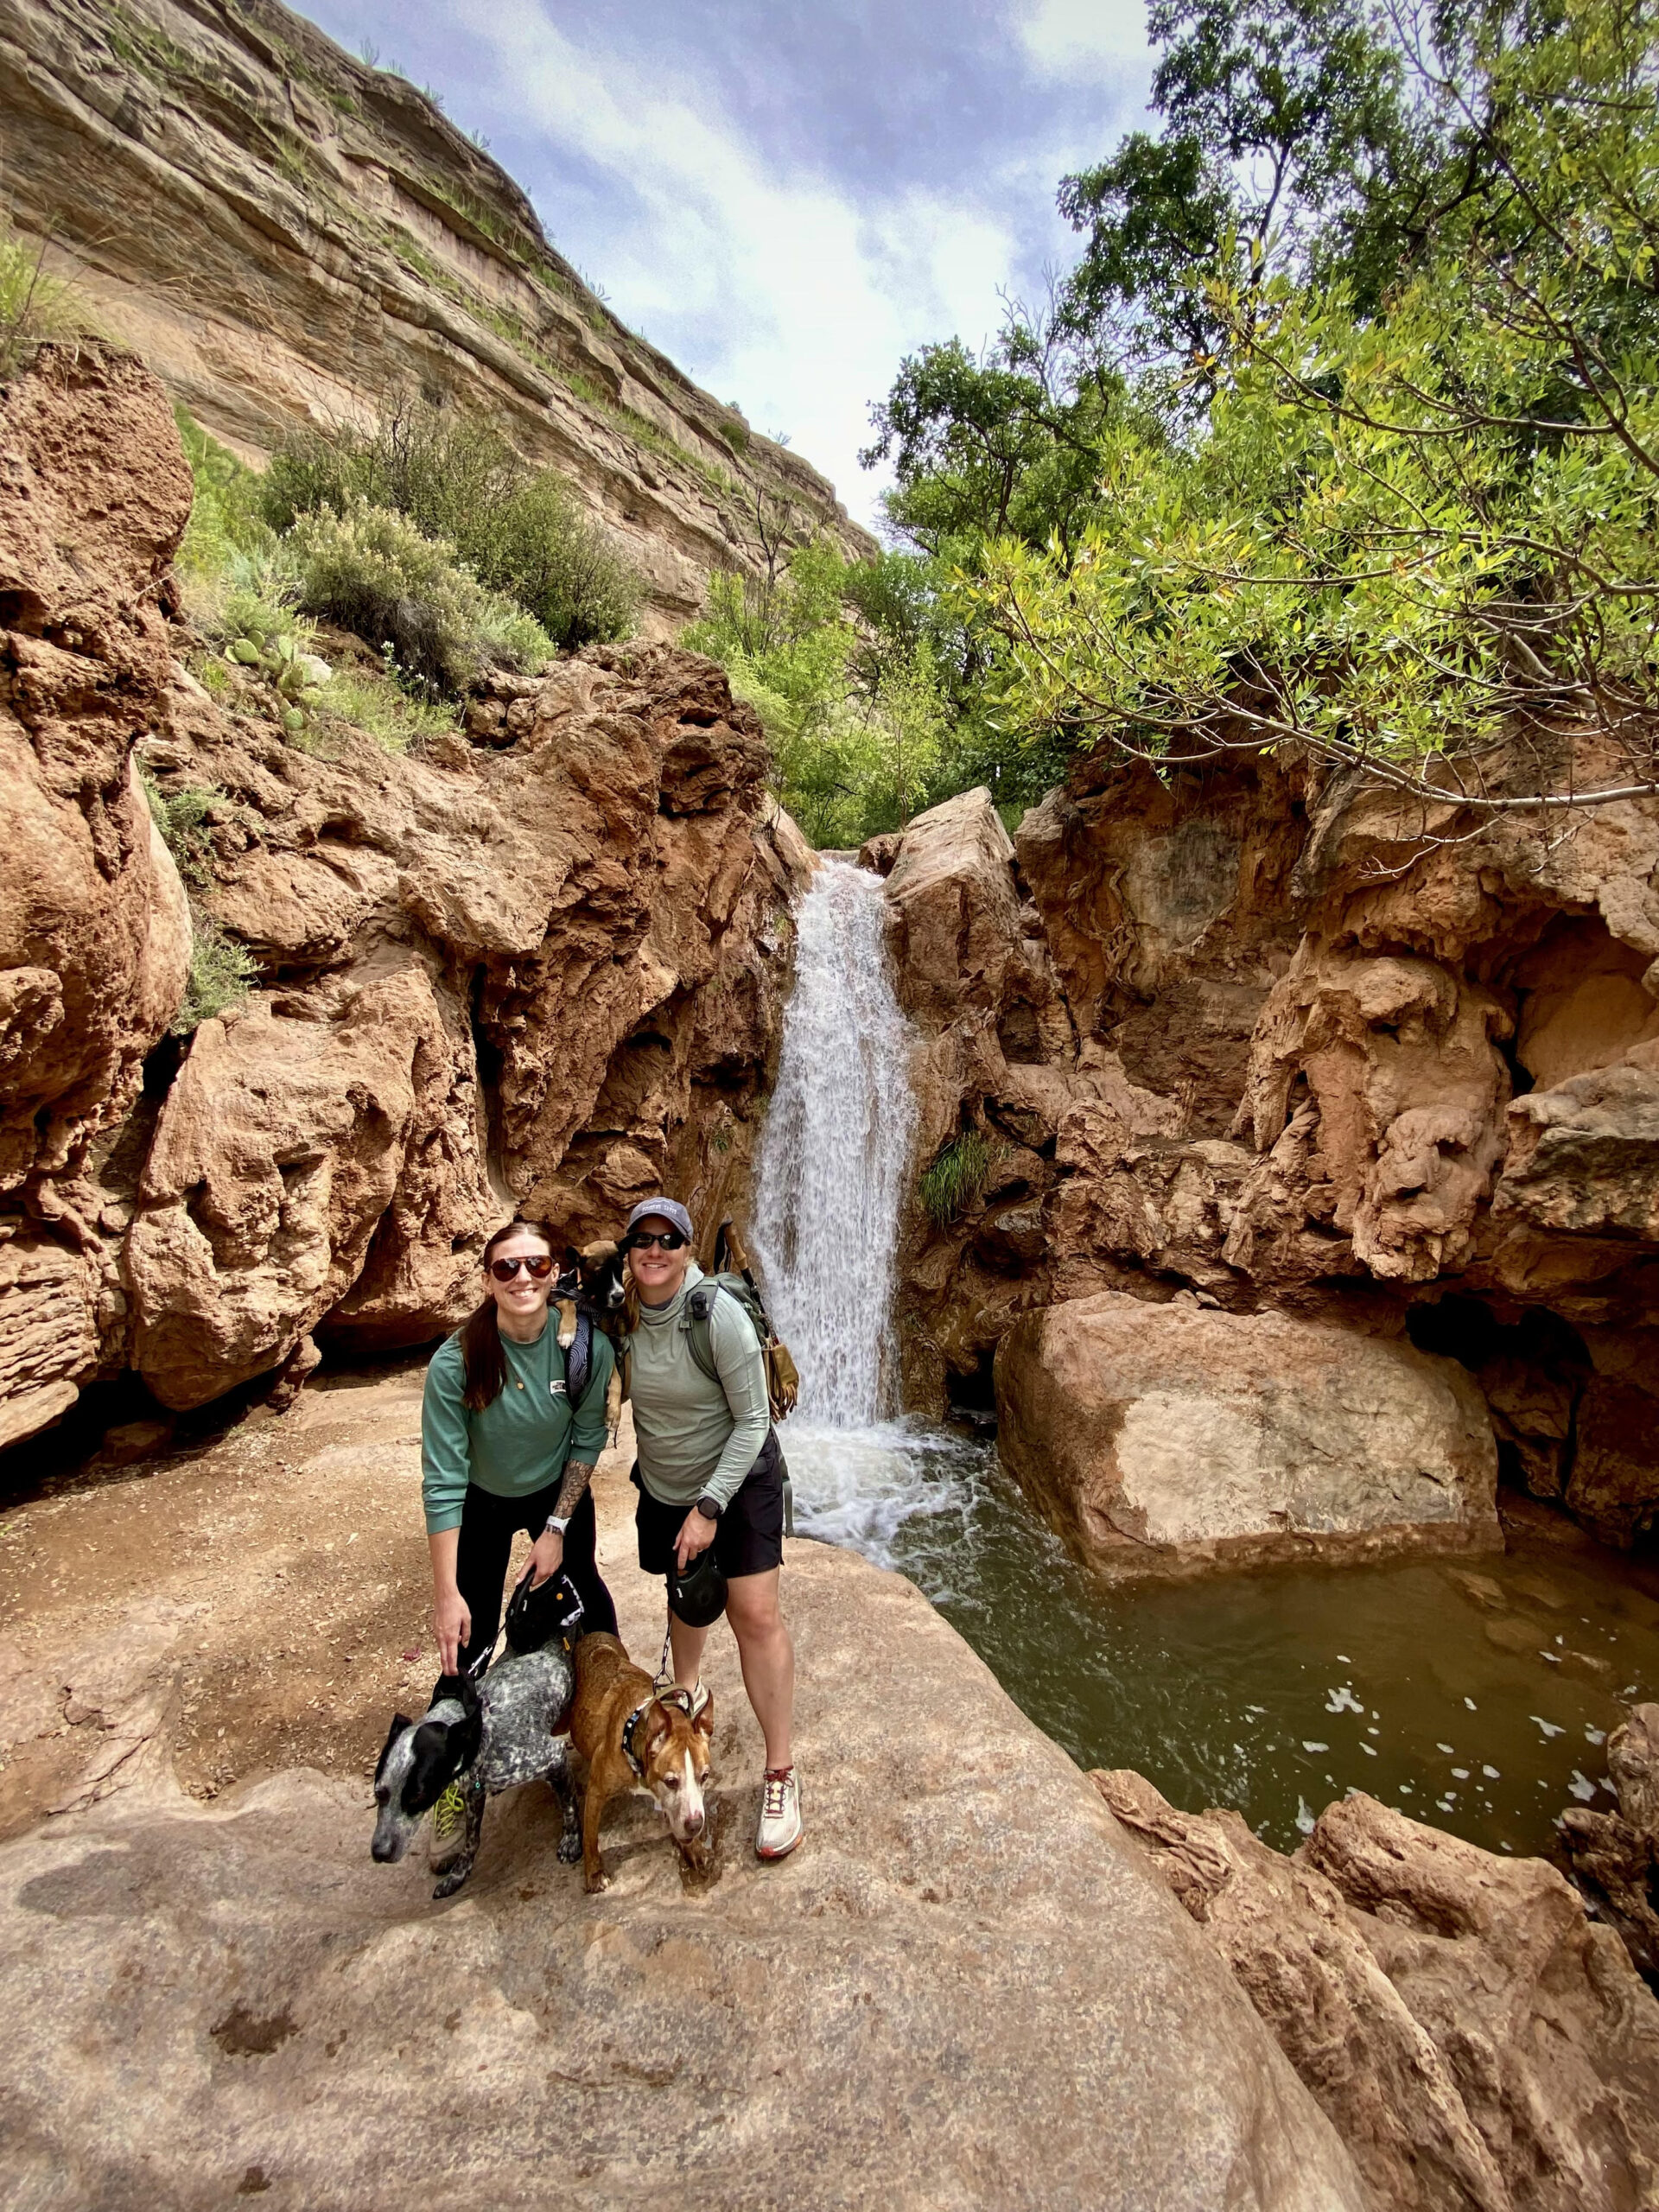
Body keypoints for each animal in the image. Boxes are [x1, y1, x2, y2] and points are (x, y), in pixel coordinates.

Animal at [369, 1574, 583, 1902]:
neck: (481, 1726)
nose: (379, 1853)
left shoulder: (552, 1756)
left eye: (418, 1797)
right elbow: (471, 1840)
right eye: (379, 1793)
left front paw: (572, 1840)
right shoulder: (473, 1792)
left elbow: (569, 1805)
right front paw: (459, 1874)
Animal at [570, 1637, 716, 1893]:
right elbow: (590, 1836)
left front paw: (695, 1849)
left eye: (705, 1776)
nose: (696, 1824)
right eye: (671, 1781)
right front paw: (594, 1873)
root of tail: (589, 1637)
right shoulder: (596, 1790)